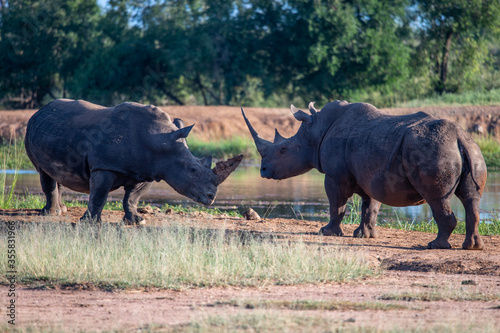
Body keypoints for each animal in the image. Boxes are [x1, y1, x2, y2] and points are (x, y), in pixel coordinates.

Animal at [25, 98, 244, 223]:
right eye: (192, 170)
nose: (211, 197)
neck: (160, 143)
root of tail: (39, 111)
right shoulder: (106, 166)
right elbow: (99, 195)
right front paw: (90, 222)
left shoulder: (149, 171)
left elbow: (132, 198)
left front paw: (137, 221)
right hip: (32, 131)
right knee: (43, 172)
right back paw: (51, 214)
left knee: (55, 172)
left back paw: (61, 210)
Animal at [242, 100, 488, 248]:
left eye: (284, 149)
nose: (263, 171)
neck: (315, 131)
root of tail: (459, 137)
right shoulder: (372, 173)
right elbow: (370, 206)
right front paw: (364, 235)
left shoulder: (336, 175)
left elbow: (337, 204)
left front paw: (326, 232)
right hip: (472, 150)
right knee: (471, 198)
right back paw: (472, 246)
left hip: (434, 150)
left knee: (437, 198)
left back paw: (435, 246)